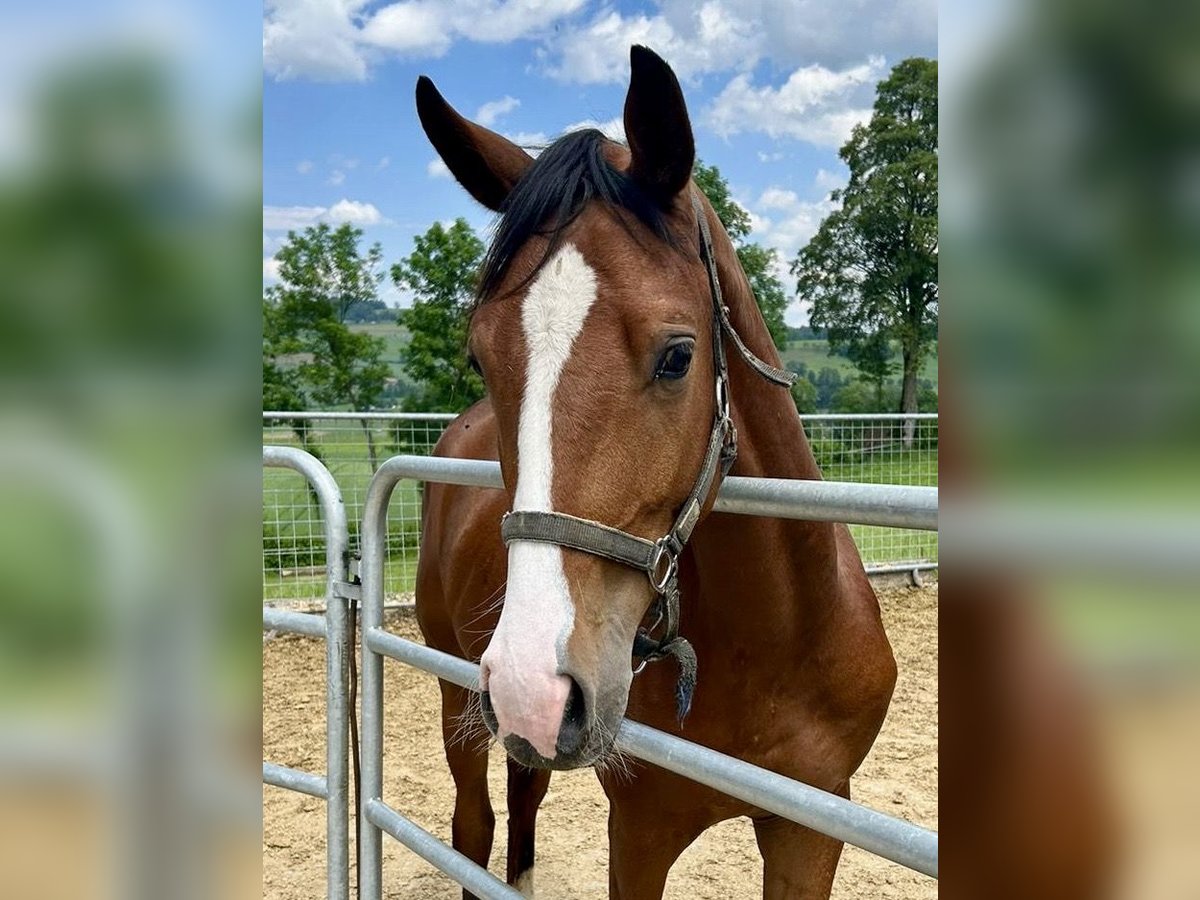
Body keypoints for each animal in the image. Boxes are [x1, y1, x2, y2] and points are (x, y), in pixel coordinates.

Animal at [417, 45, 897, 897]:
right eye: (481, 355)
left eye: (678, 355)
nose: (535, 684)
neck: (777, 646)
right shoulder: (639, 831)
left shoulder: (812, 826)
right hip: (459, 700)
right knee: (474, 826)